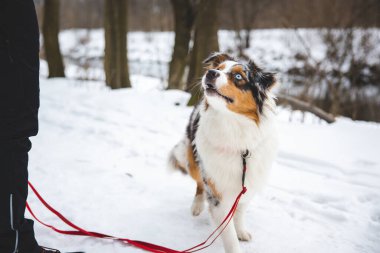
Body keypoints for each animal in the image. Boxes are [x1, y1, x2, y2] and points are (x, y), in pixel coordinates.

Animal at [169, 52, 280, 252]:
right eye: (218, 69)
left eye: (238, 76)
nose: (210, 73)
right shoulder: (217, 190)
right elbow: (228, 235)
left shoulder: (248, 184)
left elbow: (240, 211)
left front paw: (241, 230)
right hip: (193, 157)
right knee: (199, 183)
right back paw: (197, 206)